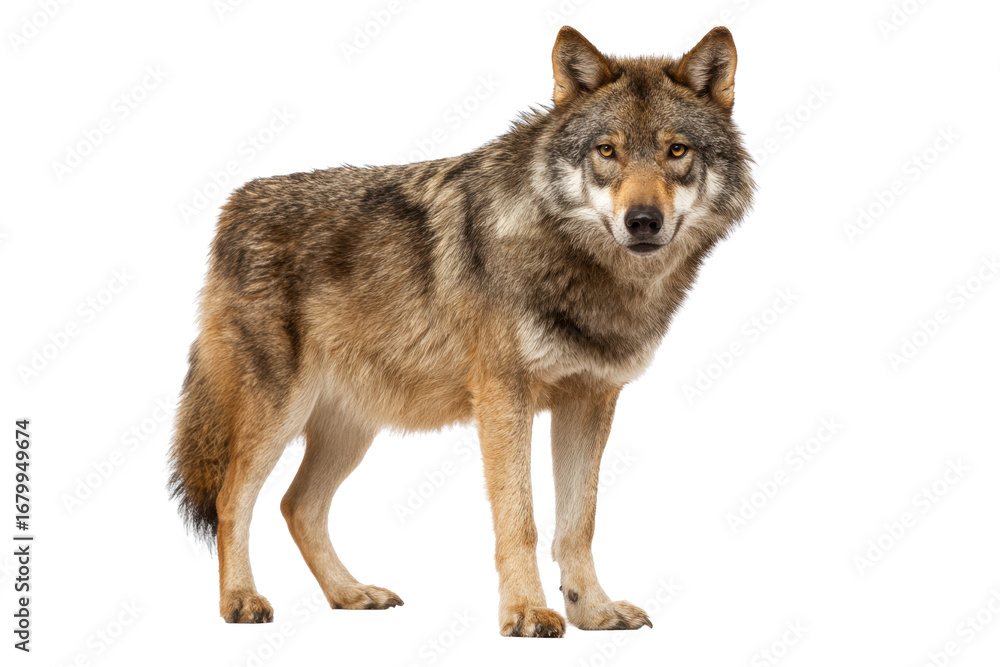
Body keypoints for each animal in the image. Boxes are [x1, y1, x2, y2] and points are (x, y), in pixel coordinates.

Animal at [168, 25, 754, 637]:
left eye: (677, 151)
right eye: (607, 151)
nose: (642, 221)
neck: (580, 268)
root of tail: (233, 208)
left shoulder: (590, 400)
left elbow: (578, 523)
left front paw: (593, 611)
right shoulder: (503, 397)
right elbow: (520, 520)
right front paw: (526, 613)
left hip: (351, 430)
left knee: (297, 506)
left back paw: (351, 594)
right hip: (278, 415)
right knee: (232, 499)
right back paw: (240, 600)